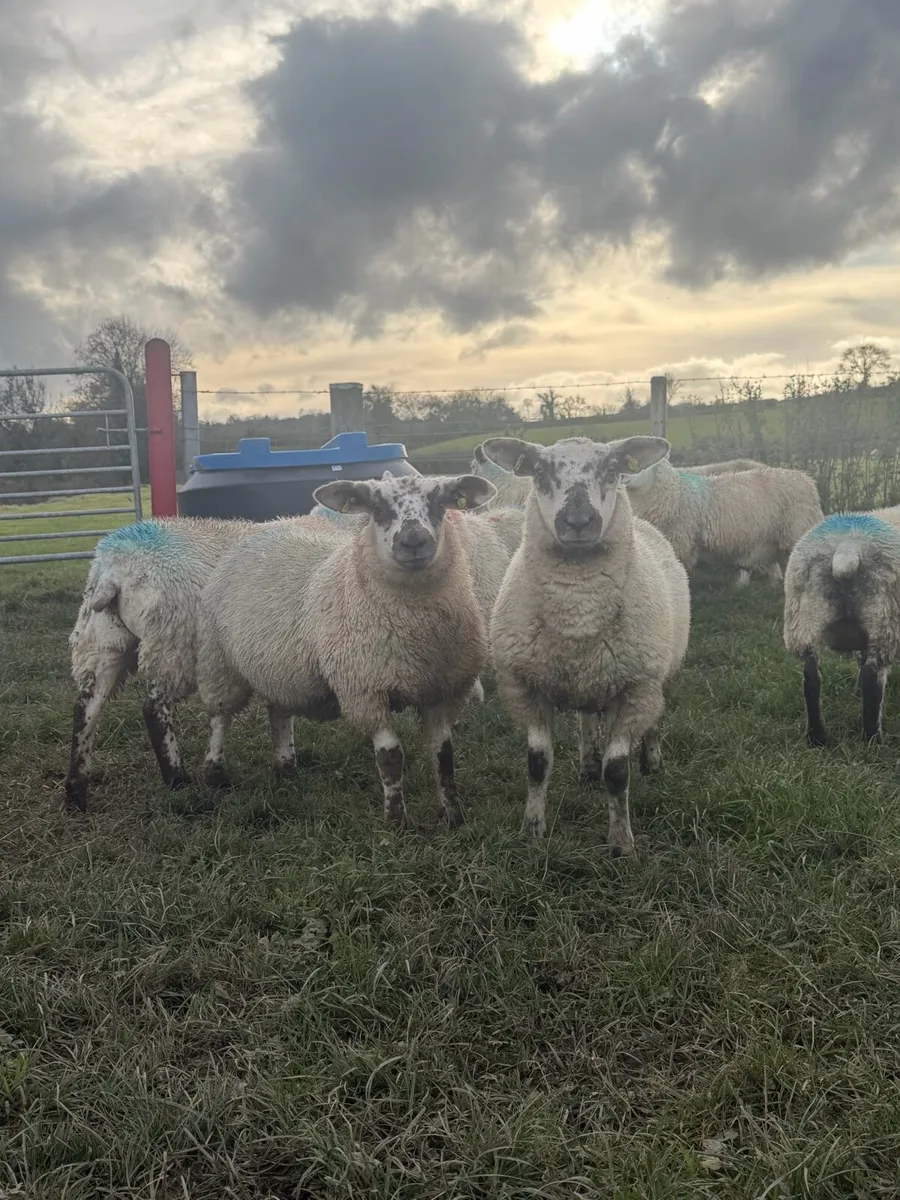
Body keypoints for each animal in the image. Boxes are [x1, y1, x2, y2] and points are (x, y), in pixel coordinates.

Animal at [65, 516, 254, 809]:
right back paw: (179, 779)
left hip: (103, 641)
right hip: (176, 643)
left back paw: (76, 791)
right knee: (155, 709)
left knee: (87, 708)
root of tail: (113, 572)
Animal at [196, 472, 497, 827]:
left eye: (440, 502)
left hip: (280, 667)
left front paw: (454, 817)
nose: (413, 542)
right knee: (220, 718)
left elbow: (444, 756)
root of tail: (269, 525)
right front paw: (396, 821)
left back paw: (285, 768)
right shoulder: (365, 690)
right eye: (377, 507)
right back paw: (215, 774)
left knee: (278, 711)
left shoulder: (441, 692)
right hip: (218, 661)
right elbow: (391, 757)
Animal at [482, 435, 690, 855]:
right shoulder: (524, 688)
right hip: (592, 680)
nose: (578, 522)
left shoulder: (635, 689)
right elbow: (537, 763)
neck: (577, 613)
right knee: (587, 720)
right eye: (539, 472)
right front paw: (532, 830)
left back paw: (652, 761)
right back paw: (587, 766)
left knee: (656, 718)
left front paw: (622, 844)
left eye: (612, 470)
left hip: (662, 674)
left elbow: (618, 772)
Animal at [624, 458, 823, 587]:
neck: (676, 494)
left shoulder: (680, 547)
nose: (625, 477)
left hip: (796, 532)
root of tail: (806, 479)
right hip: (770, 537)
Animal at [783, 506, 900, 746]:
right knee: (872, 677)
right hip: (886, 618)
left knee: (811, 676)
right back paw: (872, 738)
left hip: (803, 617)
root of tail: (847, 548)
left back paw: (817, 737)